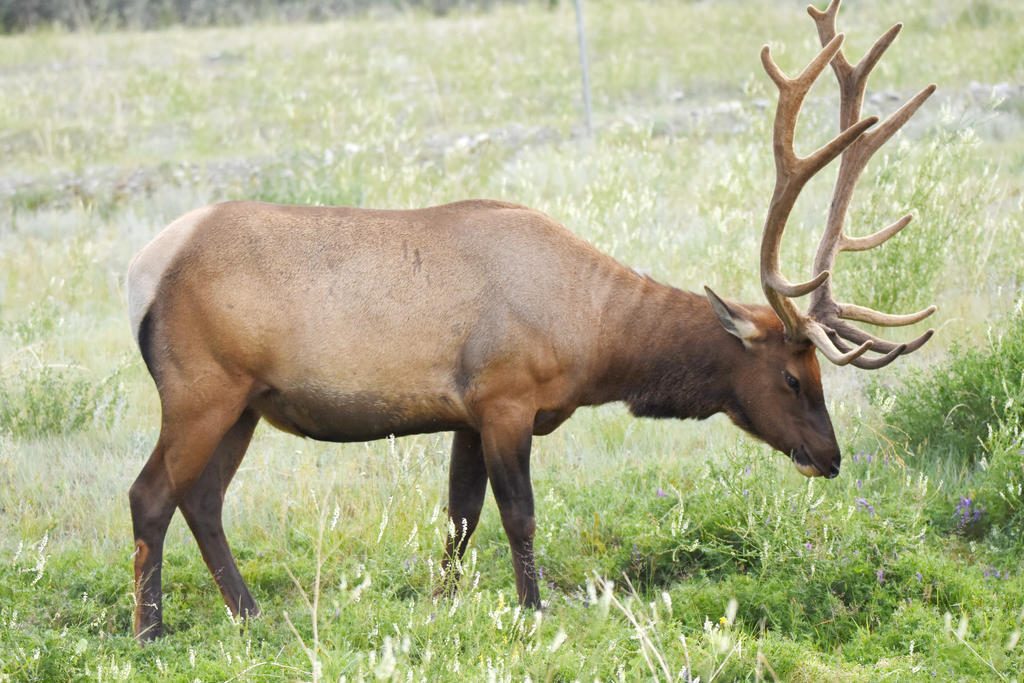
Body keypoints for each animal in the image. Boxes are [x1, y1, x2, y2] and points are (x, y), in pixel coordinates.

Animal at [126, 0, 936, 641]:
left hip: (244, 403)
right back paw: (150, 629)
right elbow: (518, 514)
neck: (595, 342)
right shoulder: (507, 397)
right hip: (200, 389)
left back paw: (249, 613)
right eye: (794, 376)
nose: (830, 456)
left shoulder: (463, 413)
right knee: (150, 495)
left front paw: (444, 605)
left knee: (202, 500)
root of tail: (140, 272)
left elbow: (458, 518)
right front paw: (533, 608)